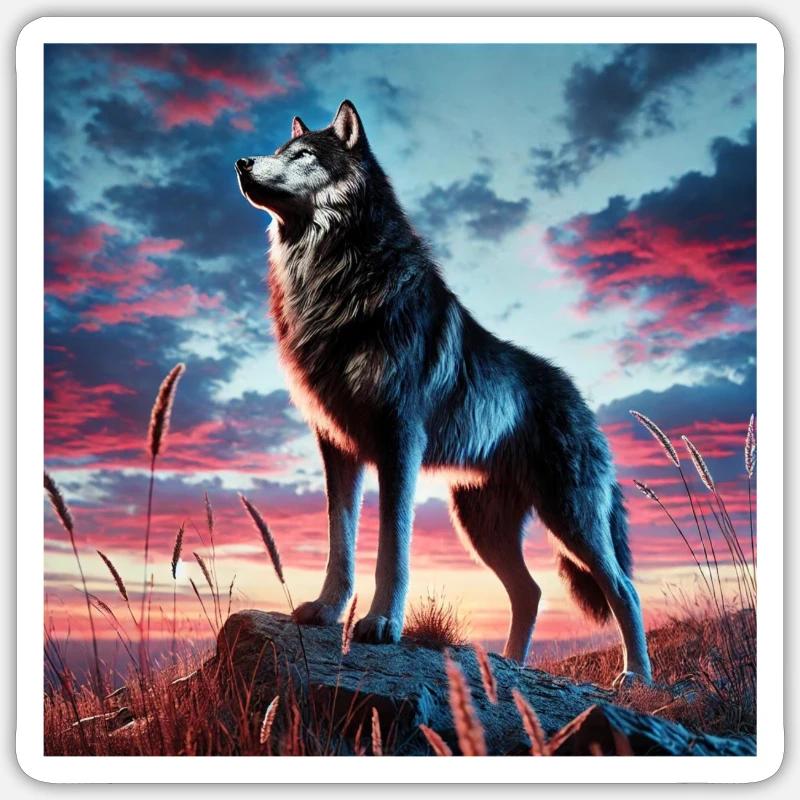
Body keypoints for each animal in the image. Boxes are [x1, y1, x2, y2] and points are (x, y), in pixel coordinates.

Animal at [236, 100, 652, 684]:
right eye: (279, 150)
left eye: (304, 156)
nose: (242, 161)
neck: (333, 278)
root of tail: (580, 398)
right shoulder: (336, 446)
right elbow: (340, 540)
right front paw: (327, 610)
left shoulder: (399, 441)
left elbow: (393, 545)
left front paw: (381, 623)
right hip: (482, 528)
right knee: (531, 592)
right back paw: (510, 666)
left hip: (570, 518)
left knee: (625, 588)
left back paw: (636, 678)